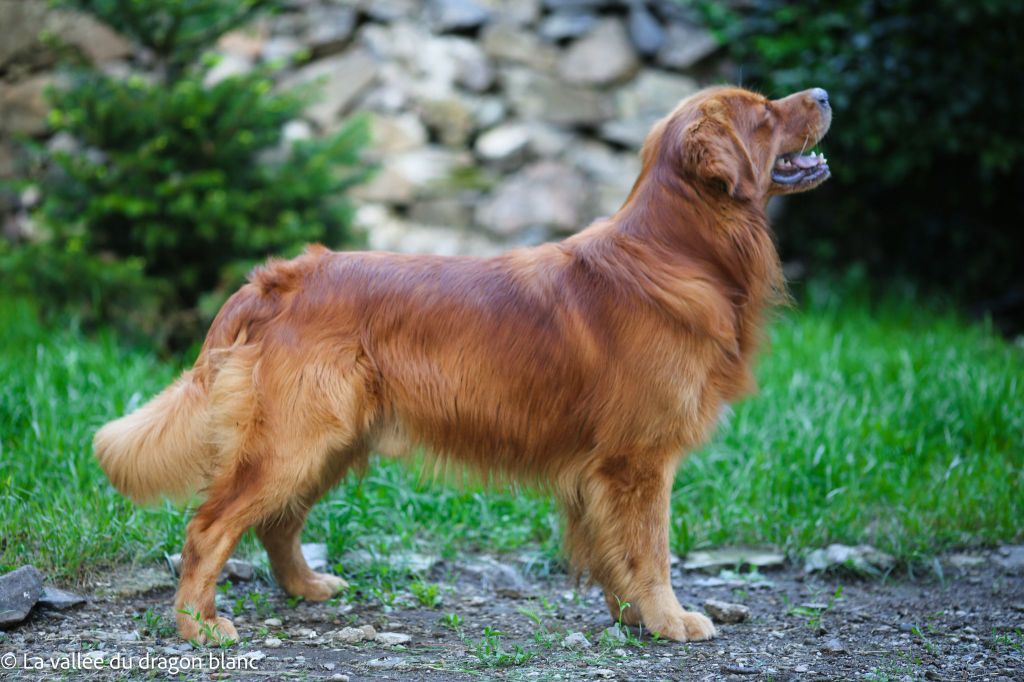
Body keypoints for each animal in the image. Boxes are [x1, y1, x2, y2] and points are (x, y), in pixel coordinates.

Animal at [94, 83, 831, 638]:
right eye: (762, 114)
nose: (823, 94)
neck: (679, 253)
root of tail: (279, 279)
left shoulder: (605, 471)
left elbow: (613, 553)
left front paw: (632, 619)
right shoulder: (639, 460)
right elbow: (651, 551)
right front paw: (670, 620)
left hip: (328, 440)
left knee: (276, 522)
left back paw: (306, 588)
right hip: (294, 440)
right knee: (209, 527)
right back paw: (198, 625)